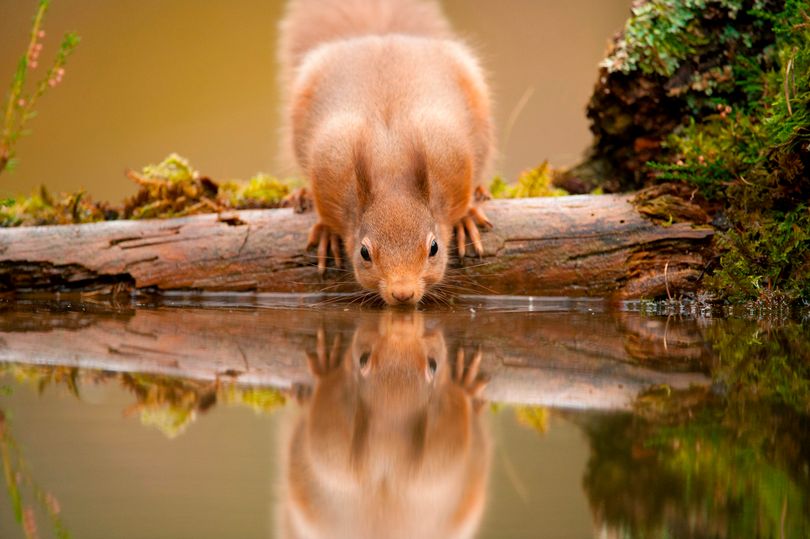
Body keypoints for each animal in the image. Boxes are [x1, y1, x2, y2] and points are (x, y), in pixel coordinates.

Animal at [278, 0, 495, 305]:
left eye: (434, 247)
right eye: (364, 252)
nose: (403, 293)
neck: (390, 165)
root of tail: (381, 36)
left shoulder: (452, 157)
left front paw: (465, 218)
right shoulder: (328, 164)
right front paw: (326, 233)